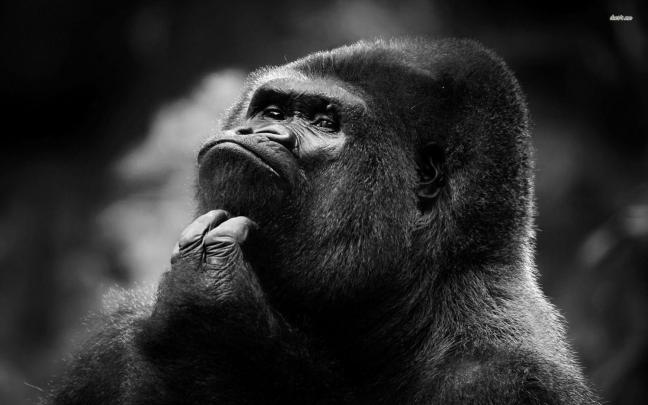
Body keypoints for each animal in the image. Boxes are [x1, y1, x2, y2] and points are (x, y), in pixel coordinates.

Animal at [50, 38, 599, 404]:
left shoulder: (508, 378)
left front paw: (215, 328)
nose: (260, 131)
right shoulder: (115, 334)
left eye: (323, 122)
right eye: (273, 109)